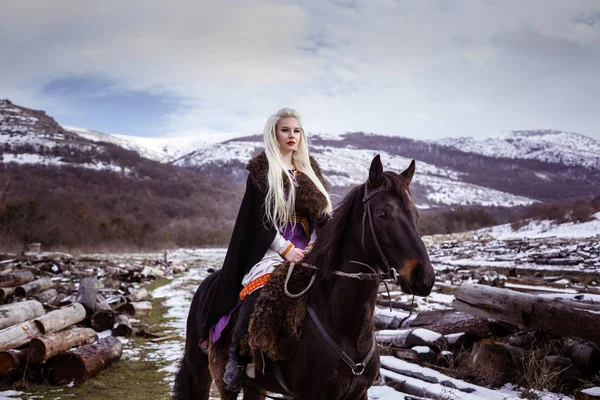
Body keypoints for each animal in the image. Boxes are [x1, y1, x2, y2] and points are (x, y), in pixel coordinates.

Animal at [175, 155, 436, 400]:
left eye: (415, 214)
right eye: (382, 214)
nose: (423, 276)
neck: (346, 329)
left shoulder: (360, 394)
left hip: (255, 385)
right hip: (203, 372)